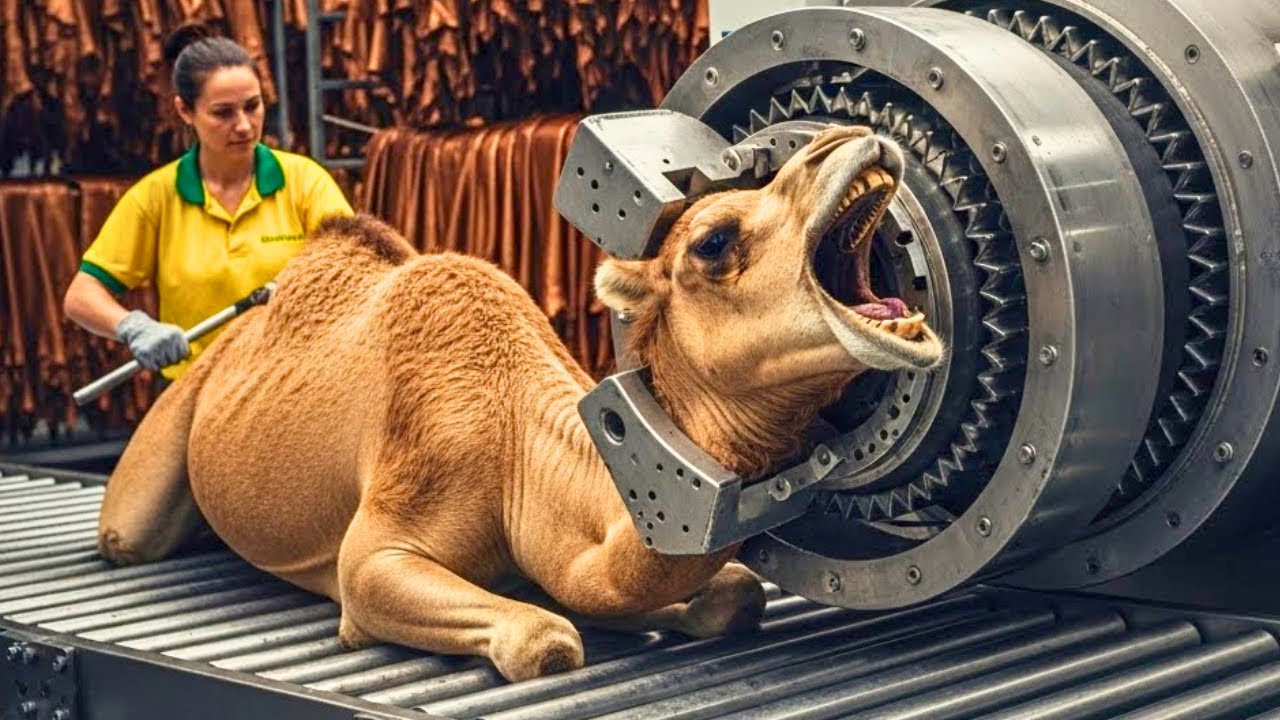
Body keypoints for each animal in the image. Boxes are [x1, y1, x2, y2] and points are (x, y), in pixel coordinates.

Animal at [96, 124, 943, 682]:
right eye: (712, 240)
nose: (851, 138)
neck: (519, 457)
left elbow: (731, 595)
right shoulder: (378, 548)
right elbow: (545, 642)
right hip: (168, 437)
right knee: (123, 536)